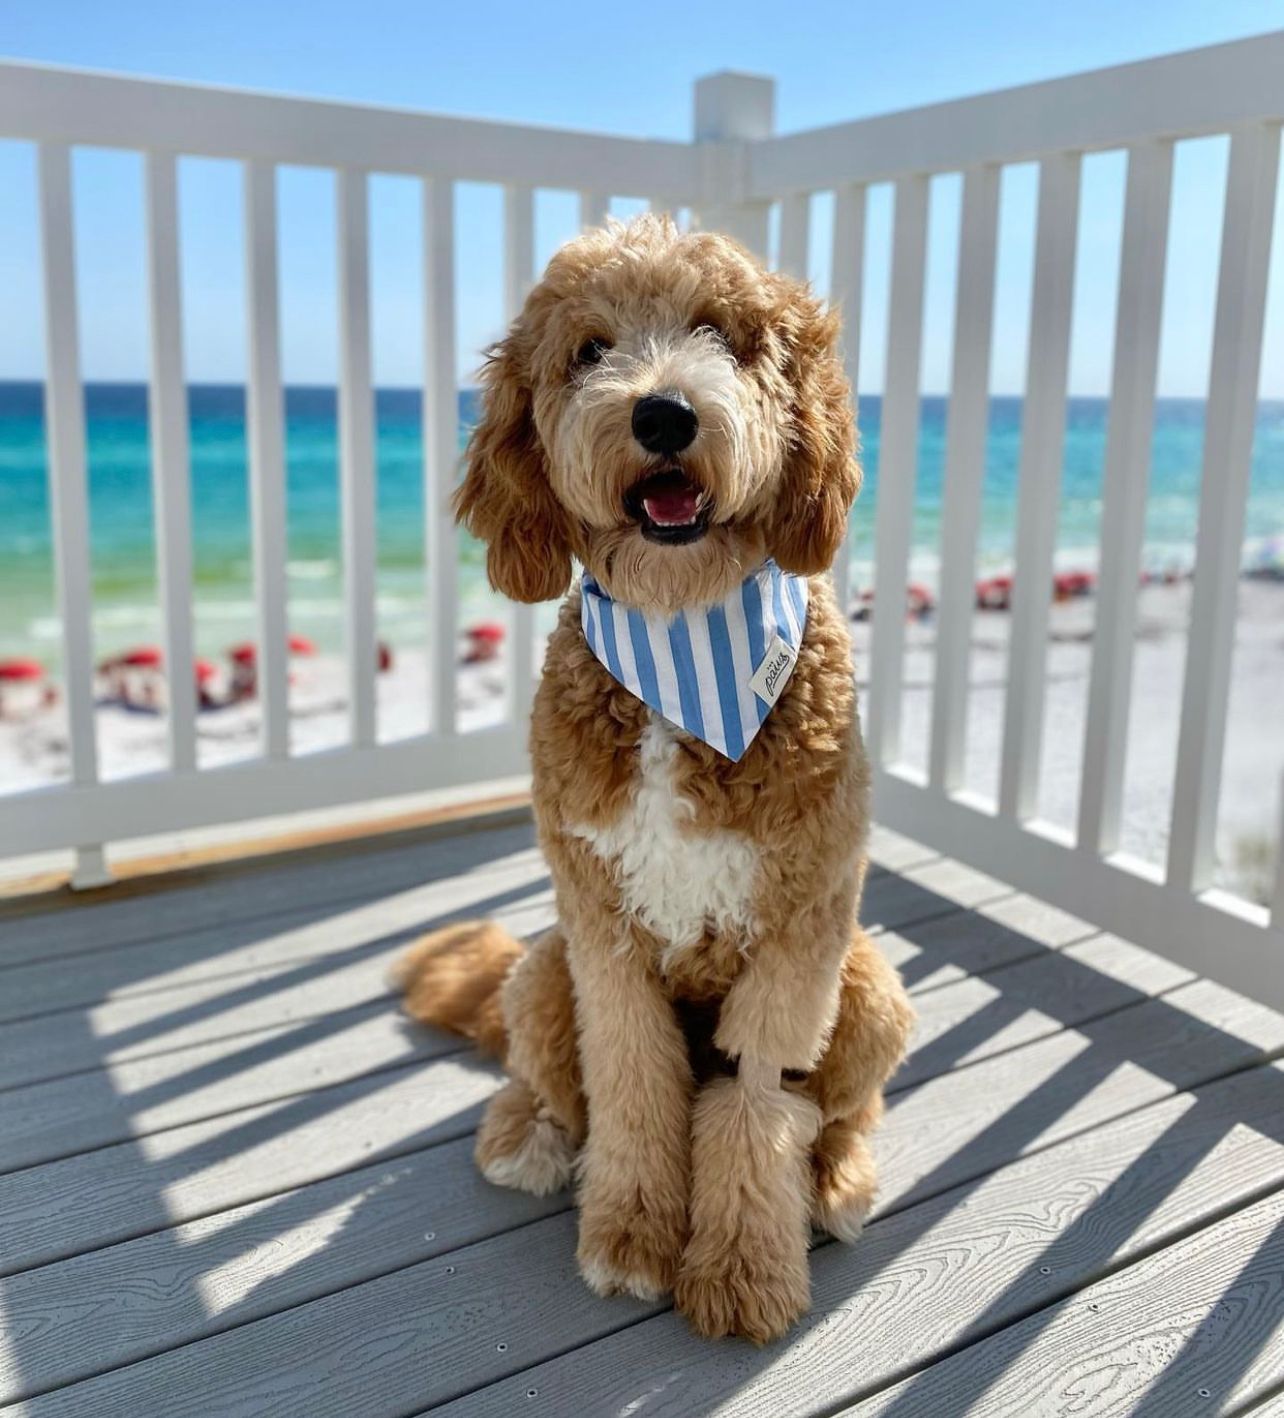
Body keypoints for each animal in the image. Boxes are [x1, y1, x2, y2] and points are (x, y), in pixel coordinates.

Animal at [393, 209, 918, 1338]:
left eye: (721, 332)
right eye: (590, 349)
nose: (665, 412)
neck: (683, 635)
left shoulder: (801, 929)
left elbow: (757, 1098)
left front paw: (742, 1268)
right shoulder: (600, 928)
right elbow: (634, 1085)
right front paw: (632, 1235)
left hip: (870, 984)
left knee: (843, 1105)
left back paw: (838, 1179)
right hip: (543, 970)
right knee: (552, 1083)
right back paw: (525, 1135)